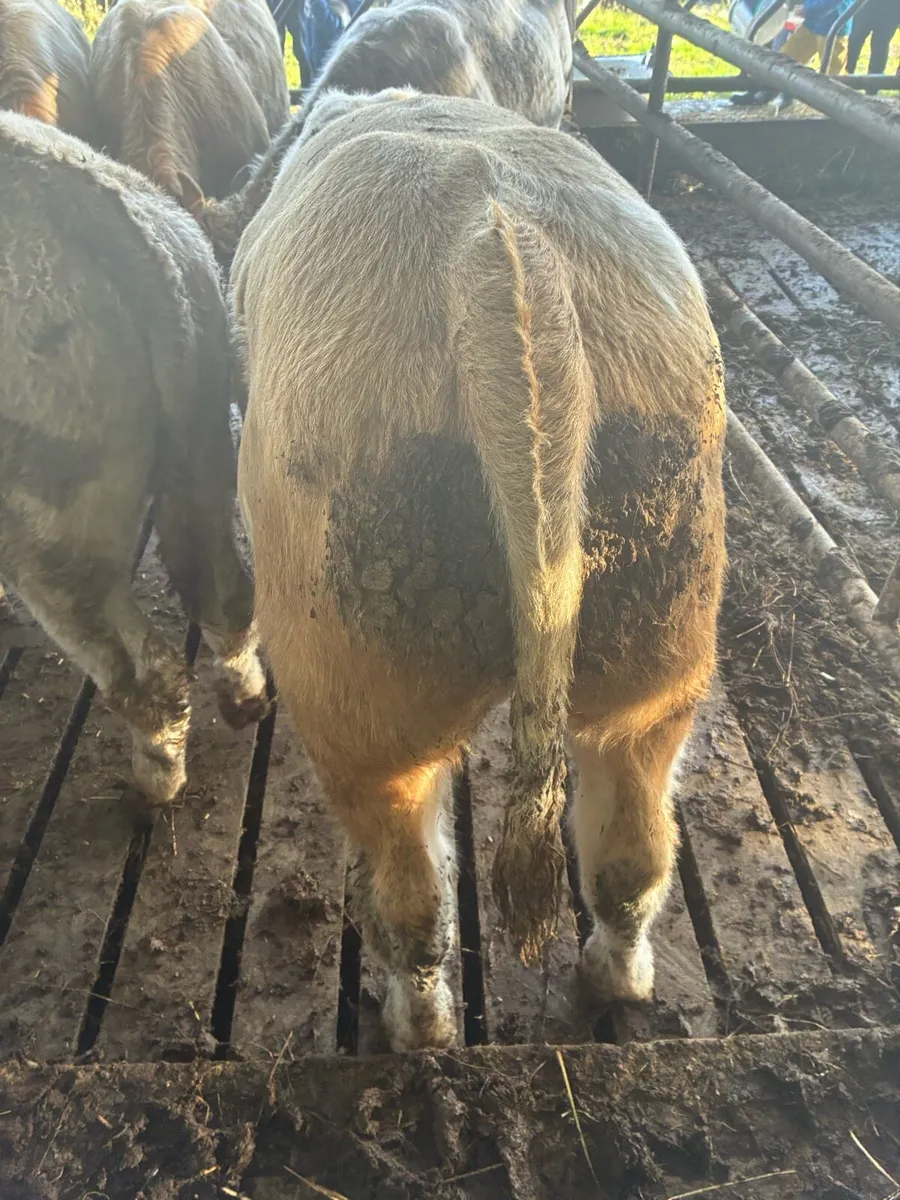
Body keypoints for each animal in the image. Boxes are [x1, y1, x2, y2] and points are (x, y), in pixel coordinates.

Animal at [0, 110, 269, 809]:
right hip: (203, 448)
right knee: (229, 597)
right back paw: (245, 700)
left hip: (53, 541)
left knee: (148, 673)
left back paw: (153, 782)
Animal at [230, 89, 727, 1051]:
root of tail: (497, 256)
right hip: (665, 632)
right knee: (632, 847)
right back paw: (613, 981)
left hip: (359, 687)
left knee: (412, 890)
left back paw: (416, 1028)